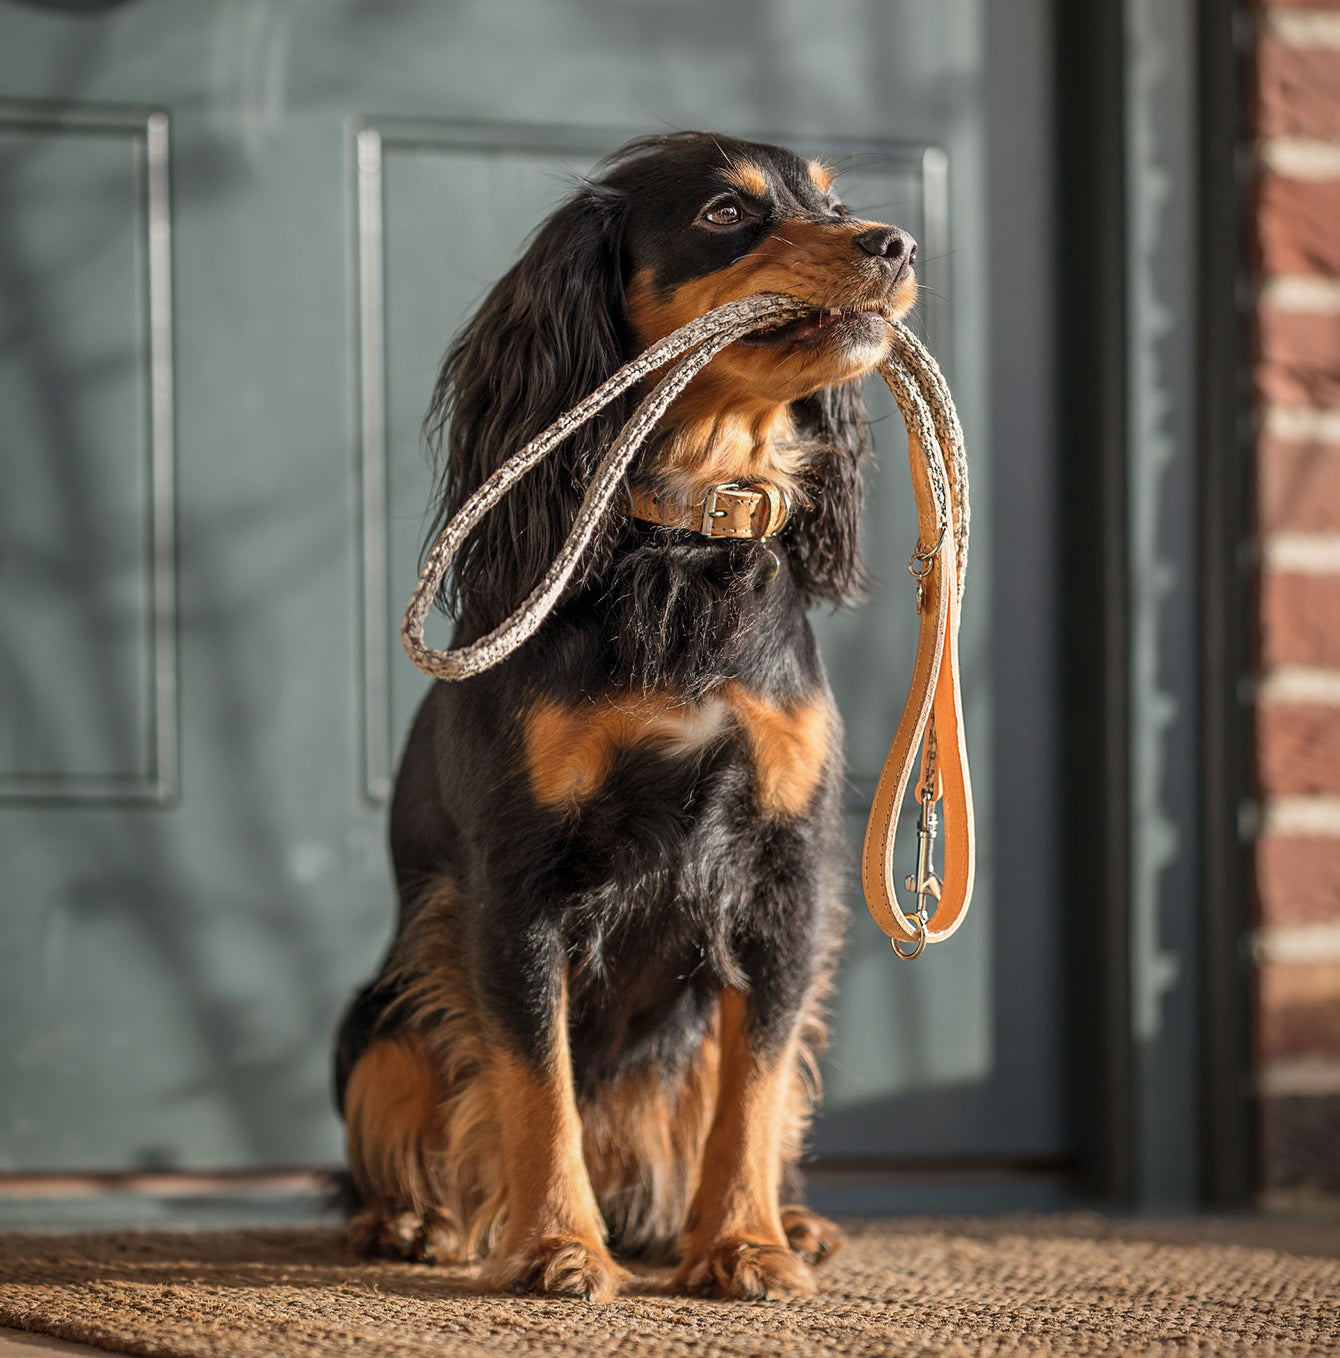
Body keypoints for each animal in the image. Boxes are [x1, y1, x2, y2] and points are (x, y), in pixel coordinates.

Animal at [335, 129, 923, 1303]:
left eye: (834, 202)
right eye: (723, 213)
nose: (892, 242)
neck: (687, 537)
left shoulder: (783, 883)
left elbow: (753, 1091)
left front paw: (744, 1245)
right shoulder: (513, 885)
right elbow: (535, 1085)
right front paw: (560, 1247)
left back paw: (785, 1220)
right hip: (380, 1015)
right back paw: (422, 1222)